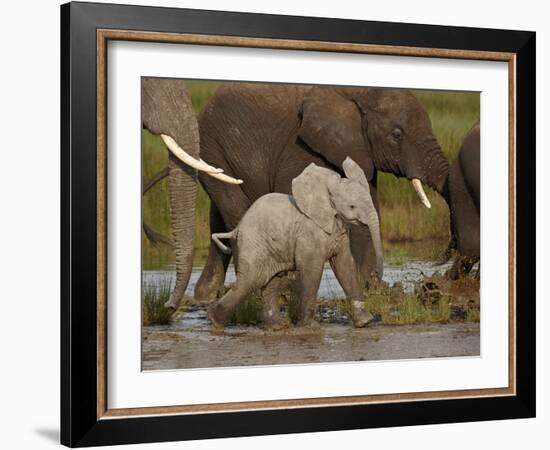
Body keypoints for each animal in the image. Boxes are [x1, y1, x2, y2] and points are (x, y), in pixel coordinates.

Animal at [193, 82, 448, 300]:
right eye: (396, 134)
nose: (435, 273)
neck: (359, 91)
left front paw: (367, 288)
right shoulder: (300, 147)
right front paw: (292, 288)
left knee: (219, 217)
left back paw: (206, 294)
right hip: (212, 146)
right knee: (235, 210)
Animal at [207, 157, 384, 330]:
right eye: (352, 206)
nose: (375, 275)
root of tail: (238, 227)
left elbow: (345, 265)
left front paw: (365, 322)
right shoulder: (308, 234)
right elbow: (312, 269)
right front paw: (310, 326)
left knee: (271, 282)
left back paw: (277, 326)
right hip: (254, 244)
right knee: (250, 281)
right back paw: (215, 321)